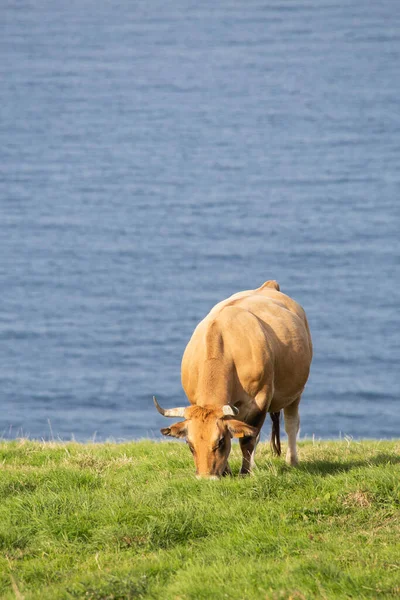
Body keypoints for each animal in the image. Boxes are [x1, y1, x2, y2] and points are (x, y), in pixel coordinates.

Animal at [153, 278, 312, 480]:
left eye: (220, 442)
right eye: (190, 445)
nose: (206, 478)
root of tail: (269, 286)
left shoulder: (260, 400)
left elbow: (248, 439)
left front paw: (244, 472)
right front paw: (228, 471)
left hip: (295, 392)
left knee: (291, 424)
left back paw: (291, 461)